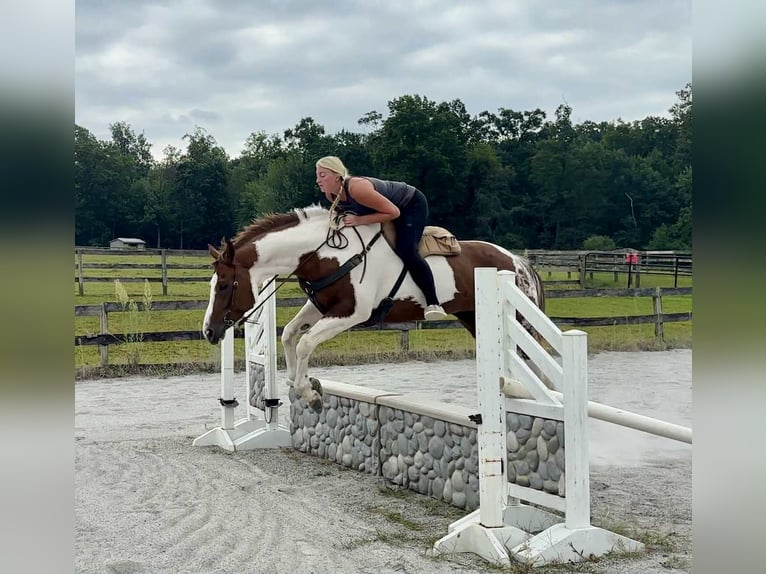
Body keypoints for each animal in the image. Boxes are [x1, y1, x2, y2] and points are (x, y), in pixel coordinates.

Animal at [202, 205, 545, 412]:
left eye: (224, 286)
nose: (208, 331)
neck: (326, 255)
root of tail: (516, 260)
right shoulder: (321, 307)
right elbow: (289, 334)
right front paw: (301, 384)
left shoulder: (352, 313)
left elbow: (306, 342)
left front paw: (309, 392)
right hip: (473, 317)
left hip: (519, 320)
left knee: (532, 365)